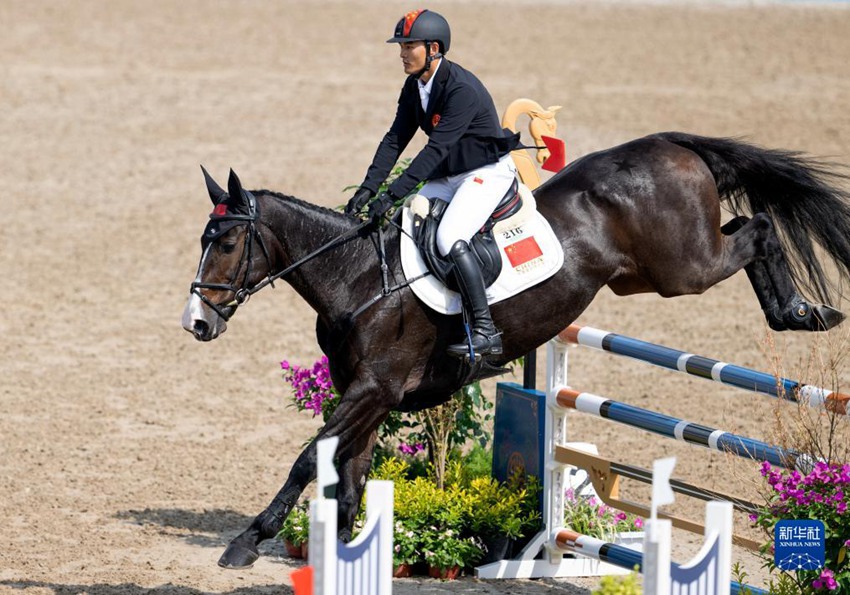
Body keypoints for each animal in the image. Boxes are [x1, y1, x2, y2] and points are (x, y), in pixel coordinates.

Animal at [181, 133, 848, 572]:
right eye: (202, 240)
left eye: (229, 243)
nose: (196, 323)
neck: (359, 279)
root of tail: (671, 145)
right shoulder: (367, 395)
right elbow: (348, 473)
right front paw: (343, 552)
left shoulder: (376, 388)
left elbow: (308, 459)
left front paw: (248, 541)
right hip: (646, 274)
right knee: (746, 230)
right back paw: (800, 312)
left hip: (684, 267)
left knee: (759, 229)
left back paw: (801, 313)